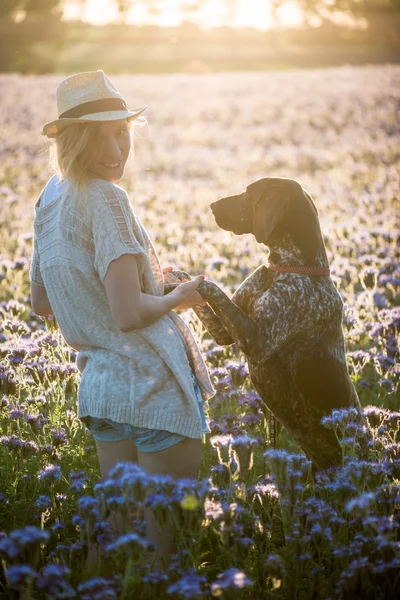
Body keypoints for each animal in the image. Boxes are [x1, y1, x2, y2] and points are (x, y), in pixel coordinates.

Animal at [167, 178, 364, 474]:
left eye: (250, 194)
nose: (212, 205)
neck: (291, 266)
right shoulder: (225, 332)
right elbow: (206, 297)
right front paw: (178, 278)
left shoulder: (256, 340)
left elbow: (211, 286)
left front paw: (192, 283)